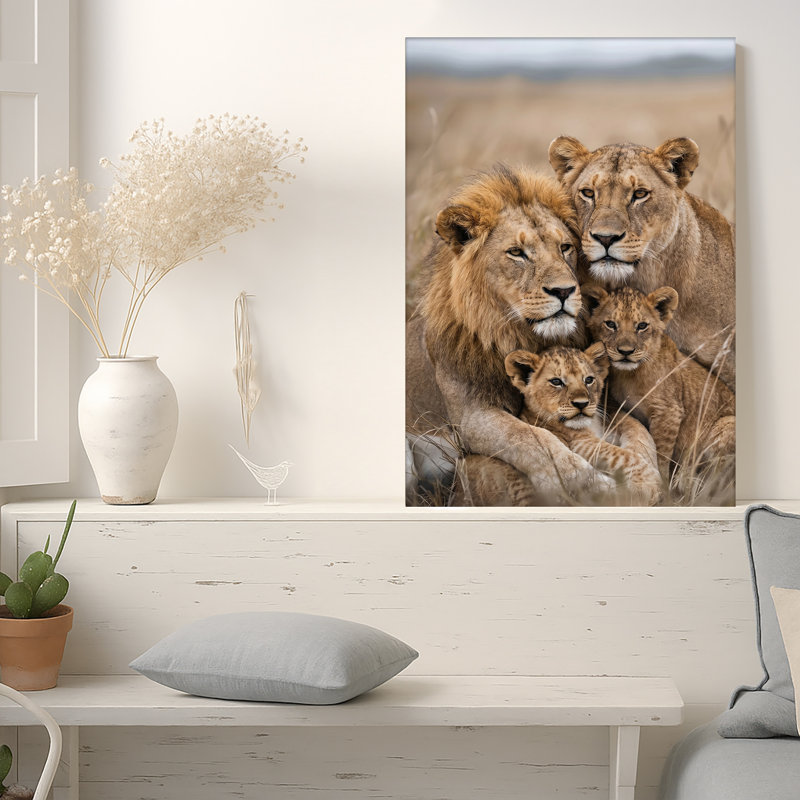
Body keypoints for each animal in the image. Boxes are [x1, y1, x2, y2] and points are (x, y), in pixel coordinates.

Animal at [505, 343, 662, 505]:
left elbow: (637, 428)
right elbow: (624, 455)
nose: (582, 404)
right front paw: (647, 485)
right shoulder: (580, 442)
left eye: (589, 379)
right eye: (556, 382)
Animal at [584, 284, 735, 504]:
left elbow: (661, 453)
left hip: (726, 424)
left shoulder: (669, 411)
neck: (629, 375)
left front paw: (664, 488)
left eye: (642, 326)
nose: (625, 352)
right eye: (611, 324)